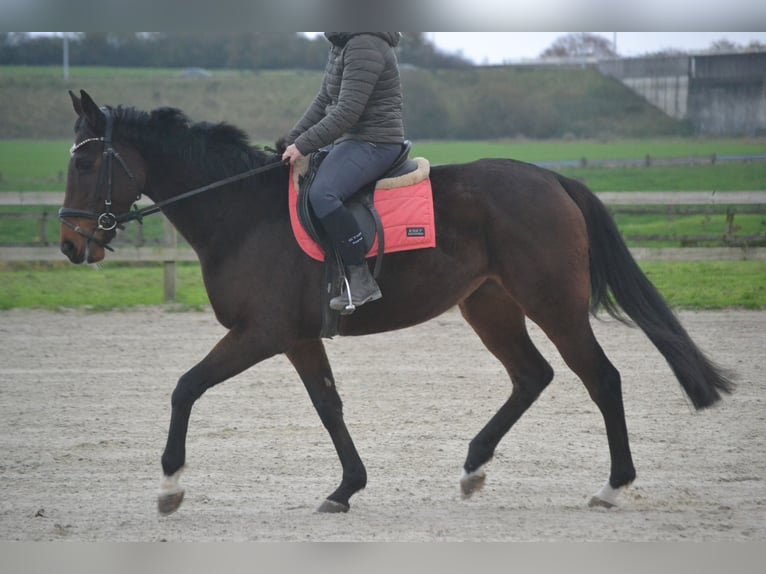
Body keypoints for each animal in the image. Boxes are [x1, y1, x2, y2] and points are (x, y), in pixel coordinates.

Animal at [58, 89, 732, 516]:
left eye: (87, 162)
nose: (70, 244)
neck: (243, 214)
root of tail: (550, 178)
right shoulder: (298, 338)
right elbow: (328, 406)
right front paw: (346, 488)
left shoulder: (261, 333)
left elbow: (185, 387)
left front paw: (170, 486)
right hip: (490, 305)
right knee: (531, 375)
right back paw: (474, 466)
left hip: (553, 303)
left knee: (601, 377)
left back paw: (613, 488)